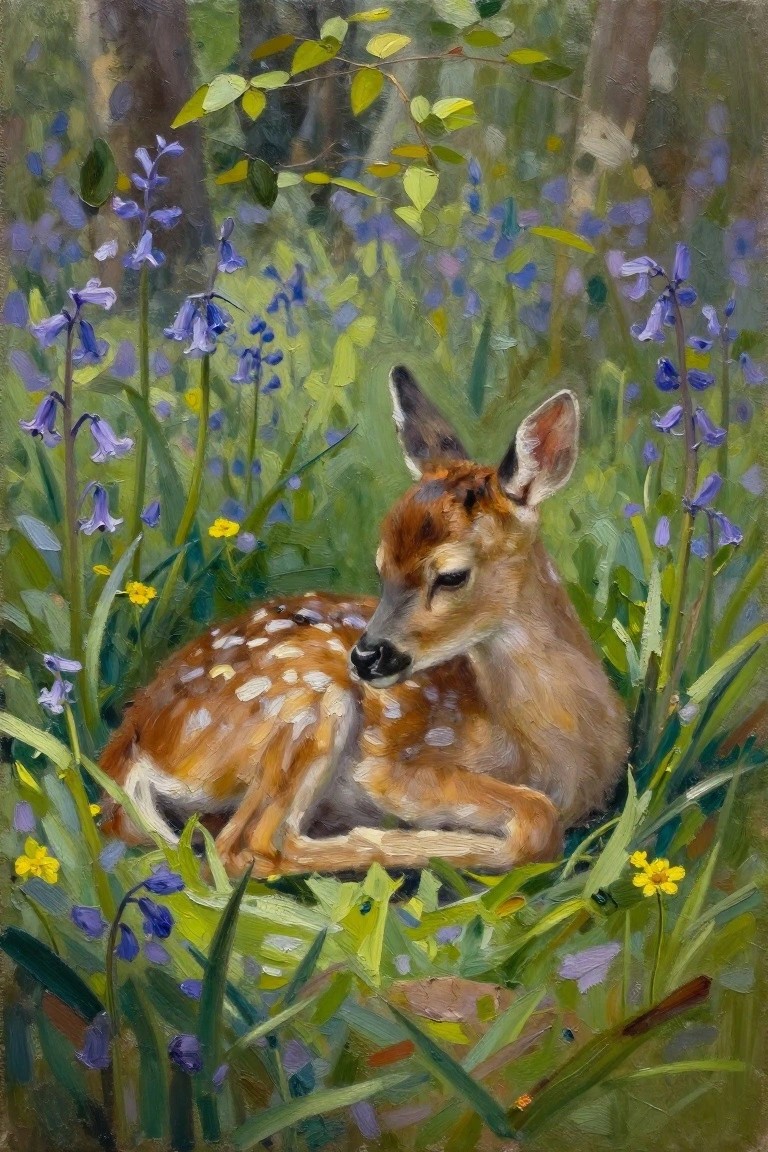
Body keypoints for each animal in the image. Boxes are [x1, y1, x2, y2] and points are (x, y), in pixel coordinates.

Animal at [100, 367, 628, 878]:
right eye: (381, 568)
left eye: (452, 575)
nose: (368, 656)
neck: (557, 747)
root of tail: (130, 741)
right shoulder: (397, 766)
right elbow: (537, 820)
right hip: (306, 700)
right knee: (249, 847)